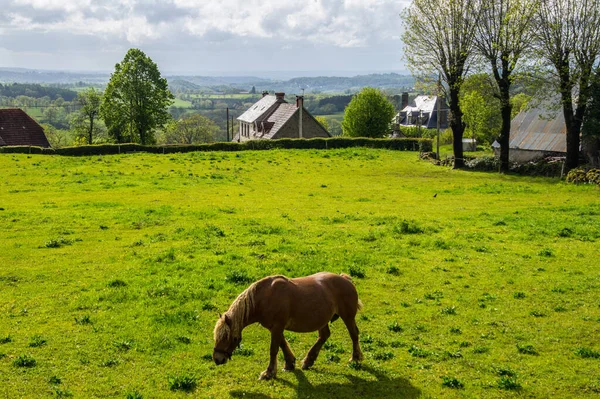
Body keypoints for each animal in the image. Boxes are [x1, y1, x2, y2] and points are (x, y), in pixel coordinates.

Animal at [216, 272, 366, 382]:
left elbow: (274, 349)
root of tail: (345, 279)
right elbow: (282, 344)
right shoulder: (275, 327)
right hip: (322, 320)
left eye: (232, 338)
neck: (265, 297)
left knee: (353, 334)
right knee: (324, 336)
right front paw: (289, 363)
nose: (217, 359)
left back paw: (355, 358)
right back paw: (309, 360)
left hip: (348, 317)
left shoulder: (277, 327)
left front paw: (269, 373)